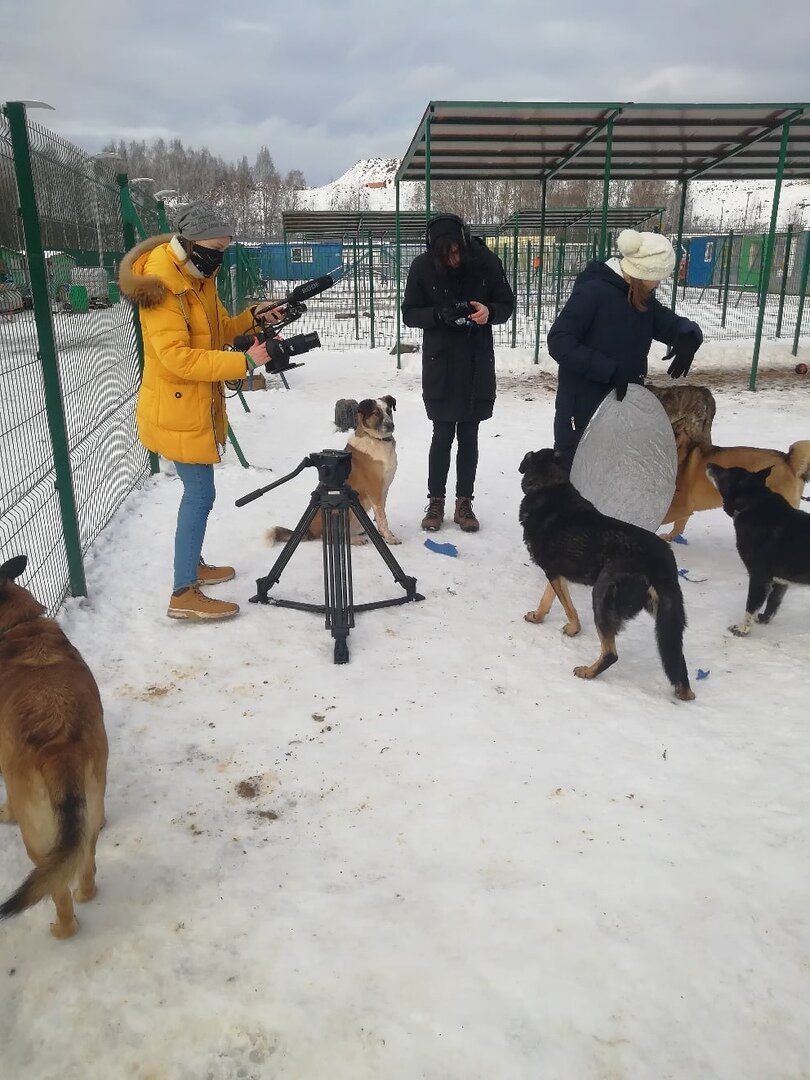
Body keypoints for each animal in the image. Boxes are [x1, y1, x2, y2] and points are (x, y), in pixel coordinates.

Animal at [0, 557, 108, 937]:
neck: (22, 623)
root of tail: (59, 749)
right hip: (89, 811)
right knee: (85, 861)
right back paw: (87, 892)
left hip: (37, 841)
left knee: (56, 889)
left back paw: (63, 928)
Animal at [267, 395, 401, 544]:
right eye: (376, 413)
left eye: (389, 411)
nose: (391, 425)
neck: (375, 439)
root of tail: (310, 531)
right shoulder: (375, 490)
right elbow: (382, 518)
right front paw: (389, 538)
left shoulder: (384, 489)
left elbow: (381, 515)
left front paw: (383, 534)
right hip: (346, 508)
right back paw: (355, 539)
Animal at [522, 447, 695, 699]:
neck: (551, 487)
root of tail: (660, 561)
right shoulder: (556, 572)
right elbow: (550, 598)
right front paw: (539, 616)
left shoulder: (552, 570)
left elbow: (566, 605)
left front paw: (571, 628)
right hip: (668, 616)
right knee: (676, 656)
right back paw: (685, 691)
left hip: (602, 596)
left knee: (611, 653)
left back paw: (588, 672)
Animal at [704, 462, 810, 630]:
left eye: (726, 472)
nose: (709, 463)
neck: (753, 504)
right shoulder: (780, 581)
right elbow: (773, 603)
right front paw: (763, 619)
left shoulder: (759, 575)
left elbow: (751, 605)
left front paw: (742, 629)